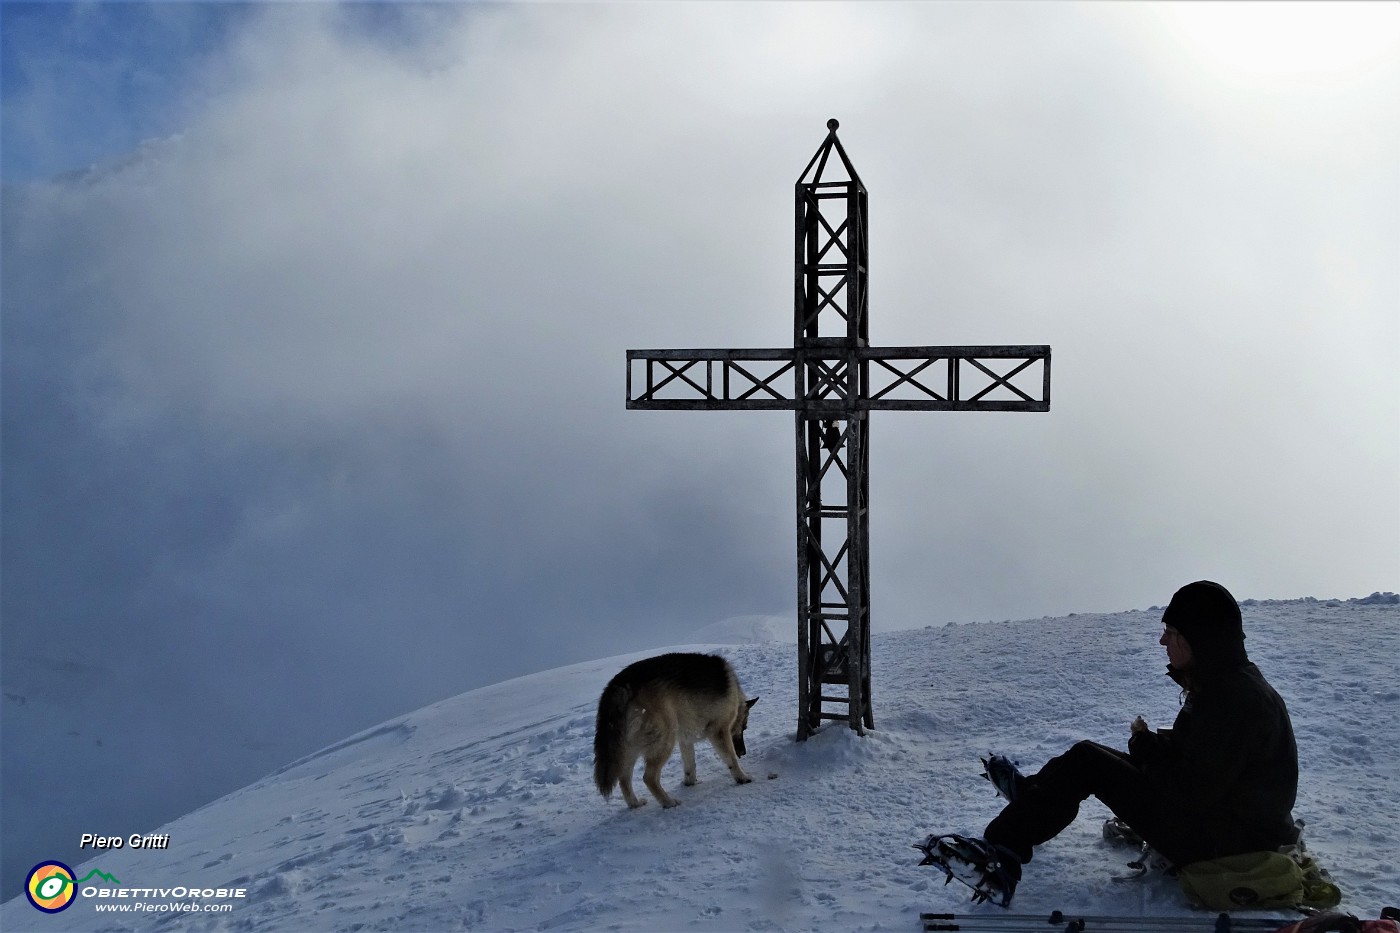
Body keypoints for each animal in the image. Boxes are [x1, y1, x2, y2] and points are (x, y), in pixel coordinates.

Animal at [593, 647, 761, 806]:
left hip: (630, 749)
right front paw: (742, 778)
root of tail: (620, 684)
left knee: (624, 779)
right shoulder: (719, 731)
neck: (735, 695)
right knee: (648, 778)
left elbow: (690, 765)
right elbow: (731, 759)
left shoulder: (685, 740)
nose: (744, 752)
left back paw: (635, 804)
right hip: (665, 740)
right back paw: (668, 802)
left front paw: (689, 783)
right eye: (744, 727)